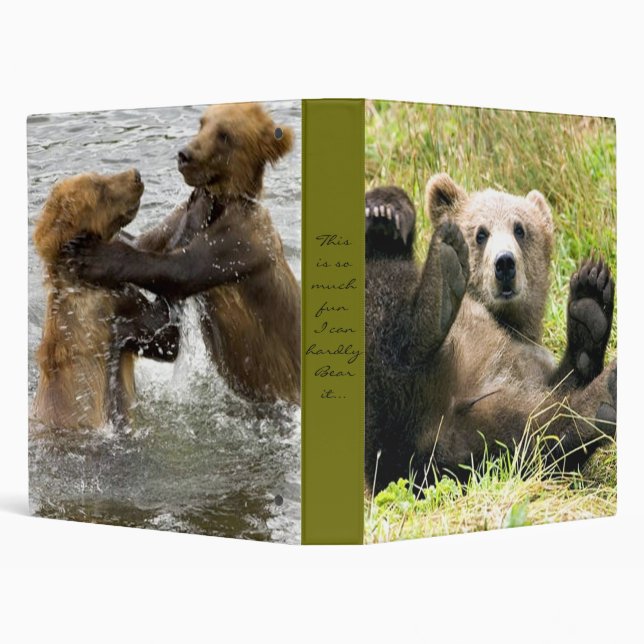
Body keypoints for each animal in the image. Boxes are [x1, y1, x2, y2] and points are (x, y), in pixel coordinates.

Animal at [66, 103, 301, 405]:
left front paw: (92, 255)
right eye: (202, 123)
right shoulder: (183, 219)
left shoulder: (240, 243)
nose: (185, 155)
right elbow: (146, 241)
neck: (220, 204)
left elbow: (180, 270)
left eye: (224, 135)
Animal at [365, 175, 616, 493]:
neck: (506, 320)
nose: (504, 263)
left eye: (520, 229)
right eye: (481, 233)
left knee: (536, 432)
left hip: (477, 432)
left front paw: (590, 301)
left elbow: (561, 389)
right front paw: (383, 210)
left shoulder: (528, 366)